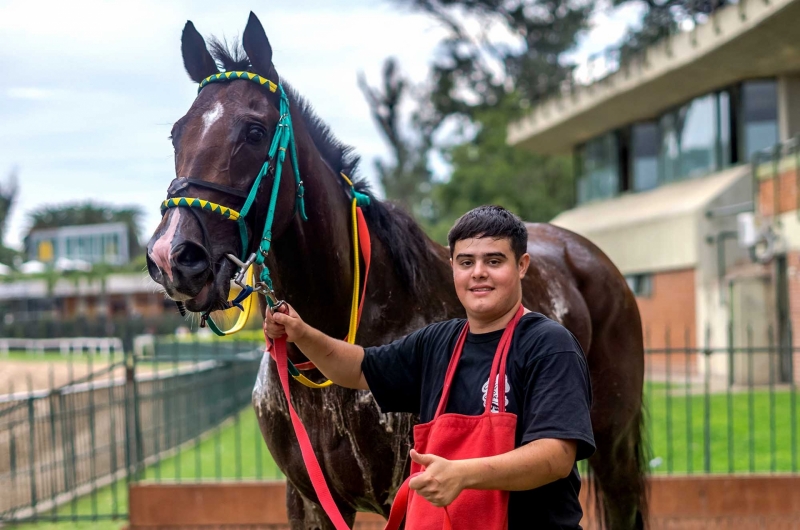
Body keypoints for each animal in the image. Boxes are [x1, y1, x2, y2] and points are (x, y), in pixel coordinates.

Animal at [145, 13, 648, 528]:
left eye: (253, 130)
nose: (173, 256)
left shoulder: (406, 496)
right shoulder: (309, 499)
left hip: (613, 446)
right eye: (177, 134)